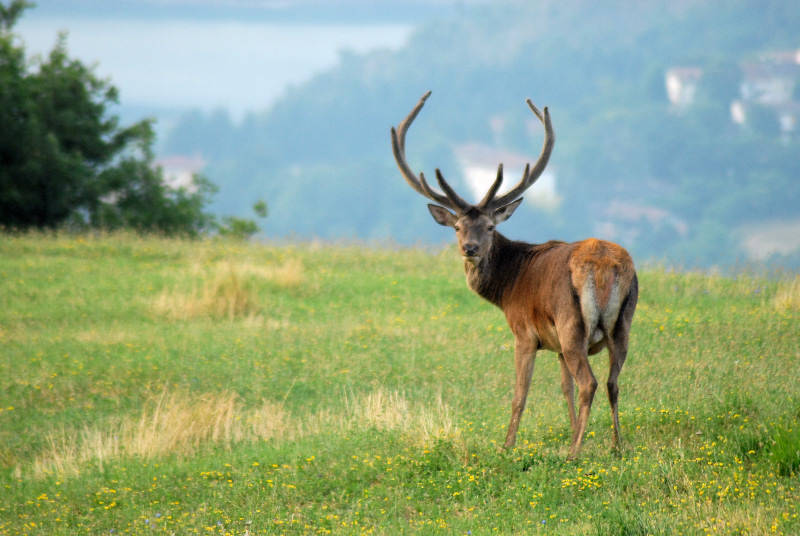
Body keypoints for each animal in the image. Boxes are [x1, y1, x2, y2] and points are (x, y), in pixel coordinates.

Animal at [390, 92, 640, 460]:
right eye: (457, 227)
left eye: (490, 227)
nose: (470, 248)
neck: (507, 289)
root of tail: (604, 266)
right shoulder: (556, 345)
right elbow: (563, 387)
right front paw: (573, 431)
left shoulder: (524, 333)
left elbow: (520, 393)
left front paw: (507, 445)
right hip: (623, 322)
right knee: (612, 382)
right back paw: (615, 445)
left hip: (571, 321)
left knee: (590, 382)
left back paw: (574, 453)